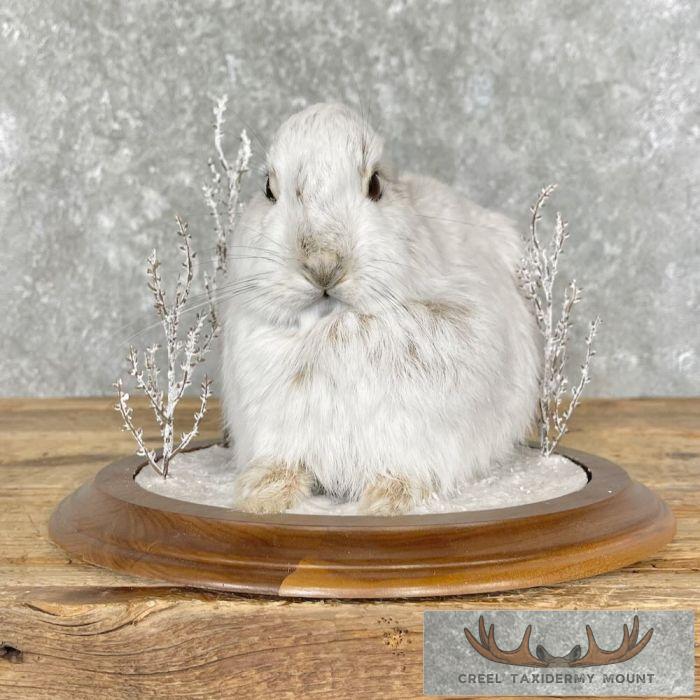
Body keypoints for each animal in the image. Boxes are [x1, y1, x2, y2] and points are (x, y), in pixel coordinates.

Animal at [221, 102, 540, 515]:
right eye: (268, 190)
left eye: (375, 185)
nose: (323, 265)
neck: (335, 326)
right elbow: (283, 464)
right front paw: (261, 498)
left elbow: (405, 470)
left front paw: (383, 502)